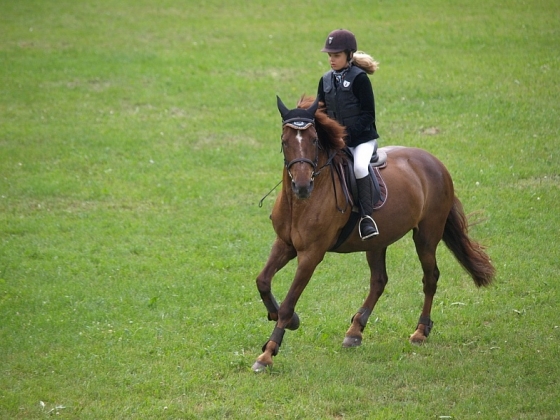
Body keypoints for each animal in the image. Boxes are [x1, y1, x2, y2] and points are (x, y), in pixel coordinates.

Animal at [254, 94, 494, 370]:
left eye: (314, 140)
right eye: (285, 141)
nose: (302, 186)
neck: (300, 203)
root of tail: (435, 162)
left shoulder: (311, 254)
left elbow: (289, 301)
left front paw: (268, 353)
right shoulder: (285, 244)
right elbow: (263, 281)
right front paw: (287, 319)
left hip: (426, 235)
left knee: (430, 277)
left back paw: (420, 331)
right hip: (377, 241)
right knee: (379, 281)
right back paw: (355, 332)